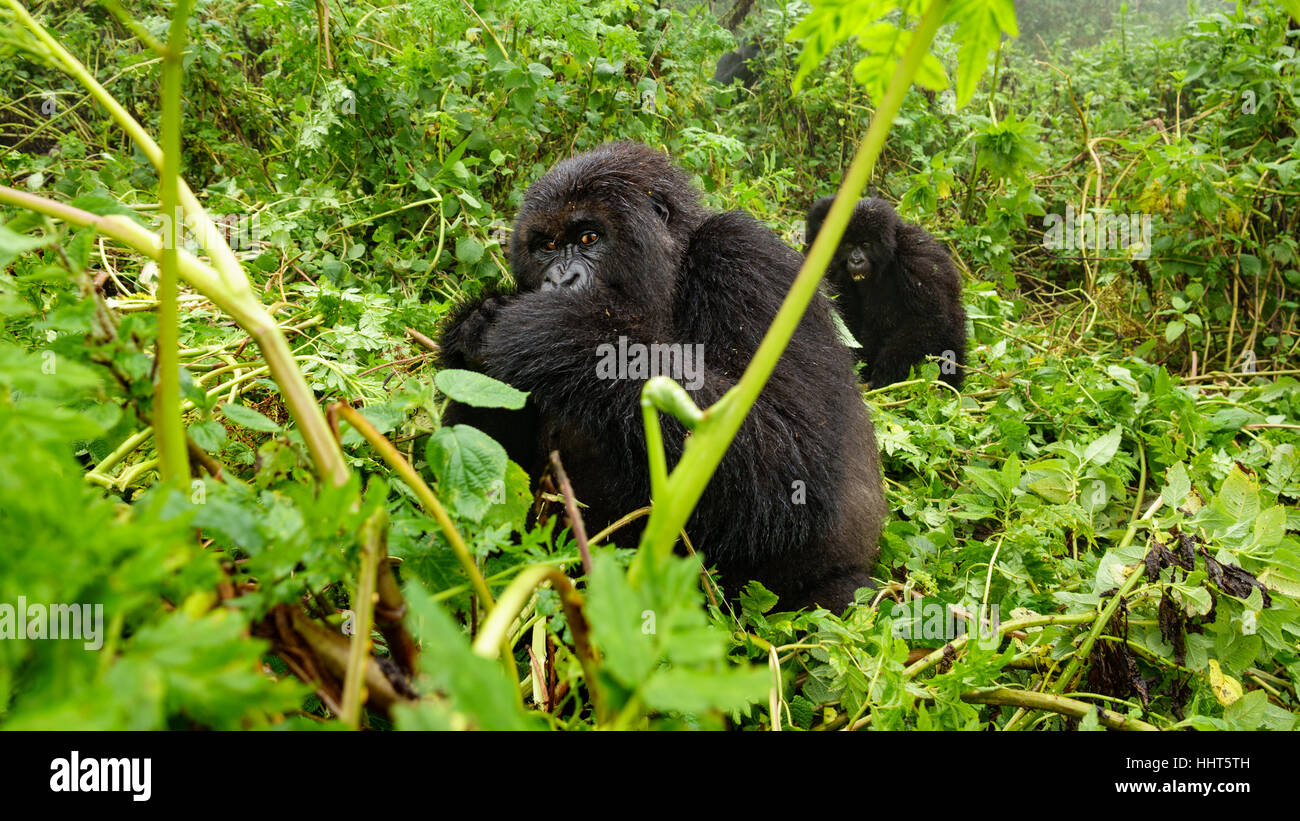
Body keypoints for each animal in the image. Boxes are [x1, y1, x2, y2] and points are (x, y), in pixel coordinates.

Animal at [441, 144, 889, 613]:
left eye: (588, 238)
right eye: (546, 247)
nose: (559, 280)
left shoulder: (743, 257)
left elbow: (798, 461)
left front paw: (560, 330)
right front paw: (475, 328)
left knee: (843, 595)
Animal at [806, 197, 972, 392]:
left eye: (865, 244)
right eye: (849, 245)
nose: (856, 260)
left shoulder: (916, 258)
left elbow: (927, 318)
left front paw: (885, 373)